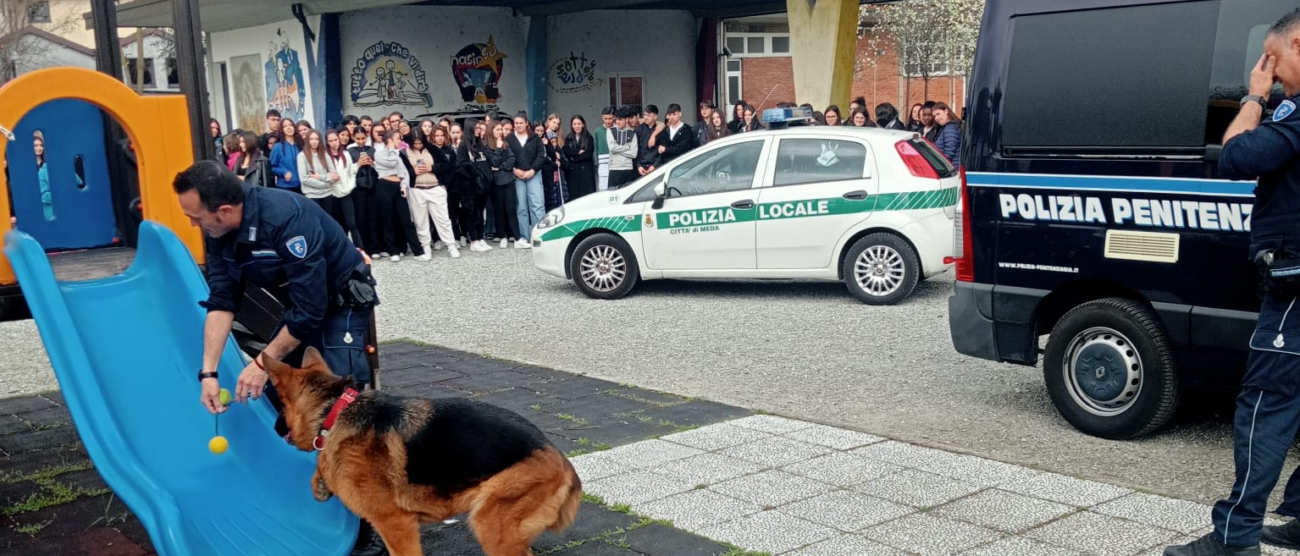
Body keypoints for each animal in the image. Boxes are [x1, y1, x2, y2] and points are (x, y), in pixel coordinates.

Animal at [263, 348, 579, 556]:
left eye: (281, 407)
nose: (275, 427)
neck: (334, 411)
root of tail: (562, 461)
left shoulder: (396, 524)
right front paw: (320, 481)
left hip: (491, 527)